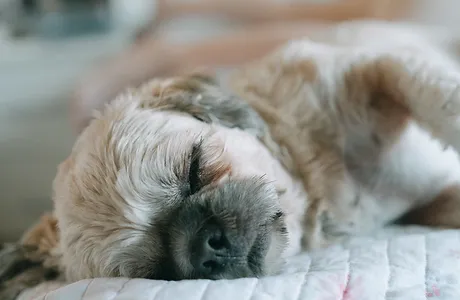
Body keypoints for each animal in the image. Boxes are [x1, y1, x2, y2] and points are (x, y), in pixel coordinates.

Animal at [4, 19, 460, 298]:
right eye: (158, 268)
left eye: (193, 168)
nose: (208, 245)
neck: (317, 182)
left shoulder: (368, 72)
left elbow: (438, 97)